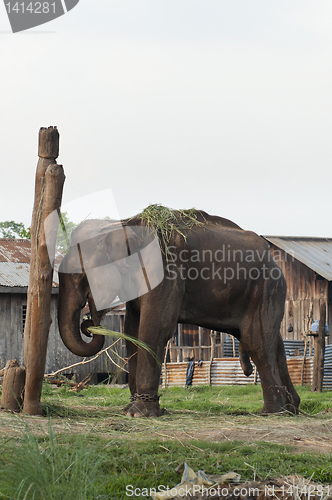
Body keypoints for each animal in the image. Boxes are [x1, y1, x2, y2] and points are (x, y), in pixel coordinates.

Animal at [57, 209, 300, 416]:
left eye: (79, 276)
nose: (89, 325)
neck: (123, 224)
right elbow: (132, 333)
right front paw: (129, 410)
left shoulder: (165, 269)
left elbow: (154, 329)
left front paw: (140, 413)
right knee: (274, 343)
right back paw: (291, 408)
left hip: (266, 287)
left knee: (256, 341)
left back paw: (273, 411)